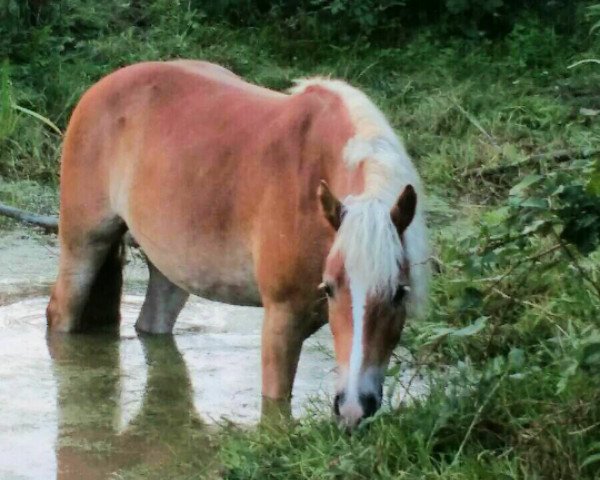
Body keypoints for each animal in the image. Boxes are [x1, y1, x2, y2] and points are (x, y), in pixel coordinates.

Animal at [48, 60, 432, 428]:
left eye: (399, 293)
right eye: (330, 289)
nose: (353, 408)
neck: (313, 173)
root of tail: (99, 89)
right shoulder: (281, 319)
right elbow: (276, 407)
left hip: (170, 271)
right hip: (83, 247)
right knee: (61, 313)